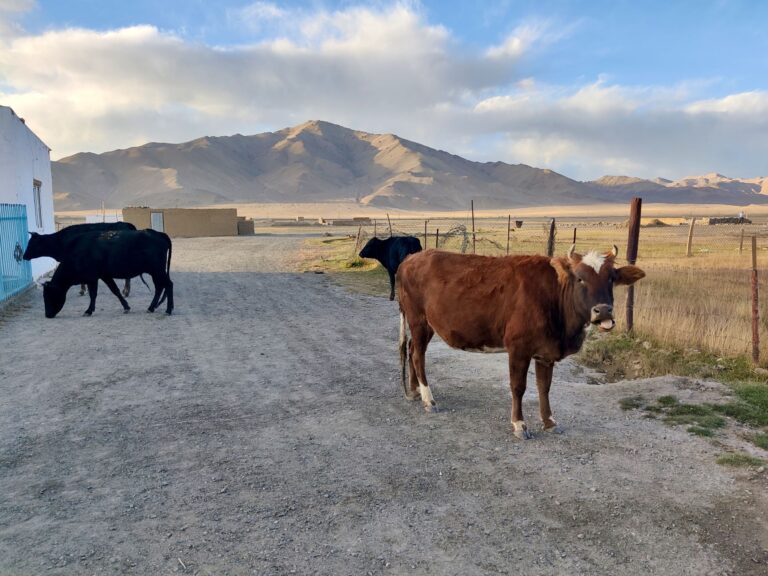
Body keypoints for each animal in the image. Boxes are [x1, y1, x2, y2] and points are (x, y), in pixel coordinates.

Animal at [41, 228, 174, 318]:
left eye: (47, 296)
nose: (47, 314)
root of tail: (158, 233)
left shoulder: (93, 277)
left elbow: (95, 294)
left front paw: (88, 311)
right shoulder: (103, 276)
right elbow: (114, 291)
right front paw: (126, 307)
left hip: (158, 270)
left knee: (168, 285)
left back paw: (168, 310)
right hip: (155, 272)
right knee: (159, 287)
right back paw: (151, 308)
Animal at [396, 245, 645, 439]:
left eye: (611, 278)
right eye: (580, 278)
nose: (603, 311)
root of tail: (410, 258)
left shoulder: (546, 352)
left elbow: (544, 387)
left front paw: (549, 421)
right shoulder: (518, 348)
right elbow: (518, 387)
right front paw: (519, 424)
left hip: (426, 324)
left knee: (411, 350)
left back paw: (414, 390)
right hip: (418, 320)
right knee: (418, 355)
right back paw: (429, 399)